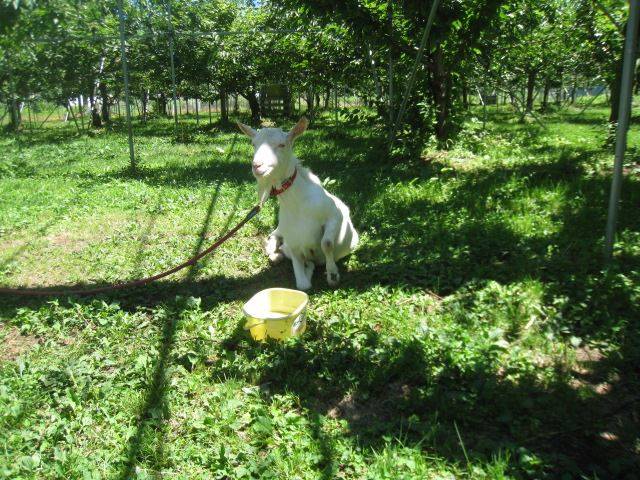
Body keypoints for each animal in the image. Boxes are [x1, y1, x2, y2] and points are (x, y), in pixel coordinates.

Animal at [236, 117, 358, 288]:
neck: (298, 205)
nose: (257, 166)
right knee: (274, 236)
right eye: (254, 144)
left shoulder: (335, 215)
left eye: (282, 144)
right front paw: (308, 269)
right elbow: (302, 285)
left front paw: (332, 275)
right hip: (281, 228)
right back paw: (274, 253)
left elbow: (326, 243)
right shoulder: (293, 243)